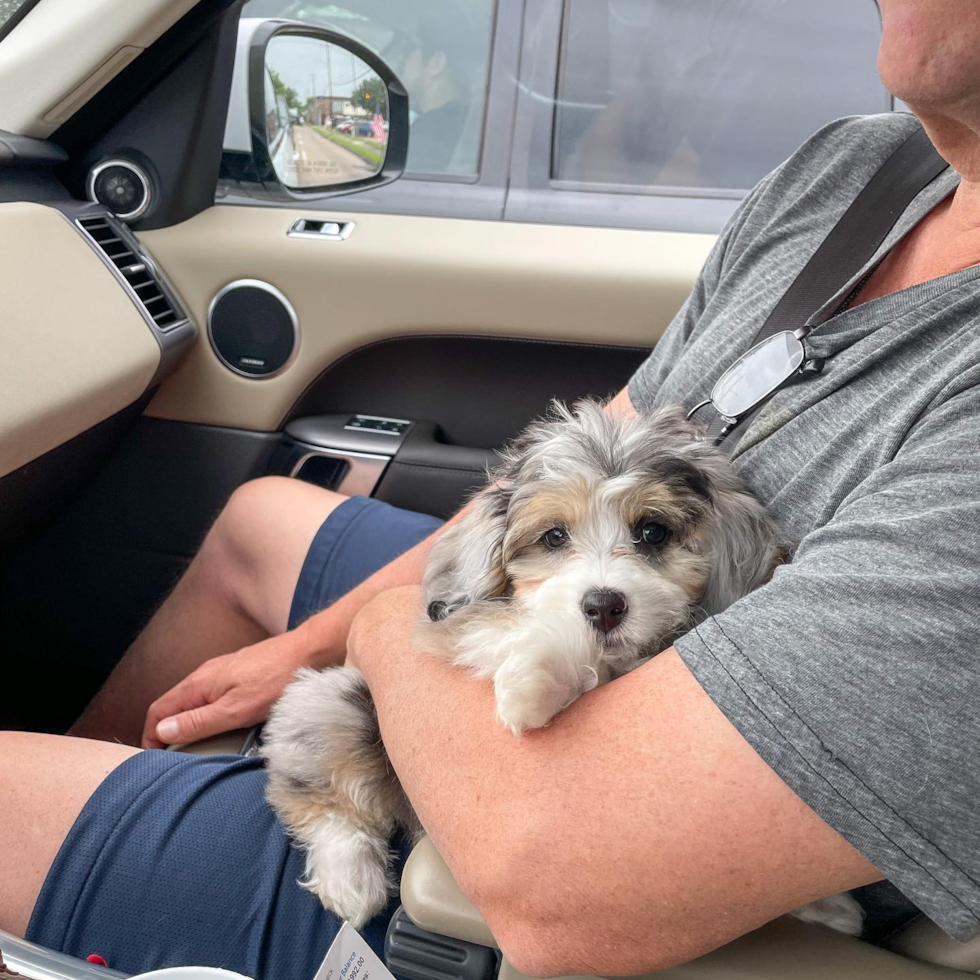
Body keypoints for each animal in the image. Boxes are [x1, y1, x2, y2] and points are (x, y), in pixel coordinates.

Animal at [264, 402, 860, 936]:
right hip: (336, 705)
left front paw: (827, 906)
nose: (604, 606)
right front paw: (537, 677)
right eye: (554, 536)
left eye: (652, 532)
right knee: (322, 797)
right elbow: (513, 631)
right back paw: (351, 879)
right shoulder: (456, 629)